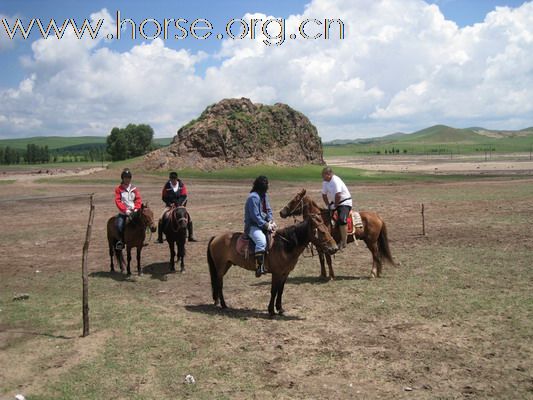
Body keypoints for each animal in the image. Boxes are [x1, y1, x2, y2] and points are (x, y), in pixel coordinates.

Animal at [207, 214, 336, 318]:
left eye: (328, 229)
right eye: (321, 231)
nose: (334, 248)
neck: (285, 245)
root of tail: (216, 237)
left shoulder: (285, 273)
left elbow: (280, 290)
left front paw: (280, 309)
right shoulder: (276, 273)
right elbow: (274, 291)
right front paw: (271, 311)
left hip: (226, 265)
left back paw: (217, 302)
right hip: (220, 267)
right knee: (219, 284)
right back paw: (224, 305)